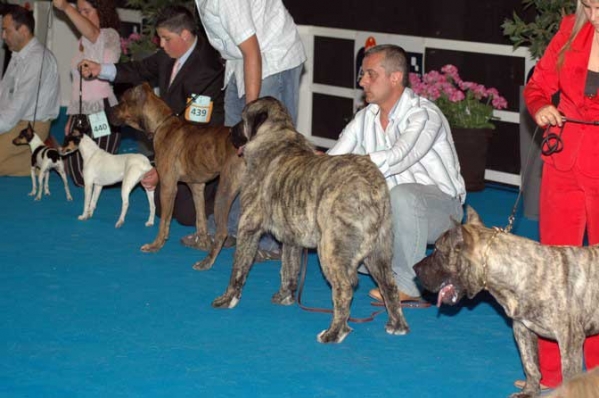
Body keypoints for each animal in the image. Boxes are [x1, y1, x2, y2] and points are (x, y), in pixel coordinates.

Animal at [111, 83, 245, 270]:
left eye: (123, 101)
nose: (109, 111)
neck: (162, 125)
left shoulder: (168, 187)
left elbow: (164, 222)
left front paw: (155, 245)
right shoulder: (196, 187)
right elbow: (200, 219)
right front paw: (202, 242)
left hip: (224, 192)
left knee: (222, 232)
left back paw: (207, 262)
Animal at [209, 96, 410, 342]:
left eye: (242, 118)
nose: (230, 132)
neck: (276, 135)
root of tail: (370, 185)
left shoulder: (248, 228)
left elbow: (238, 270)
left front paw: (227, 299)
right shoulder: (292, 240)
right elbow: (288, 269)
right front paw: (285, 296)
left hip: (331, 250)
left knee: (344, 289)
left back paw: (334, 332)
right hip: (379, 252)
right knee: (389, 286)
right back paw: (397, 325)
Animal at [414, 207, 599, 396]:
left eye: (437, 250)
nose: (416, 268)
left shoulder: (569, 339)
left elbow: (570, 375)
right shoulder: (522, 329)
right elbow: (529, 364)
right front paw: (529, 392)